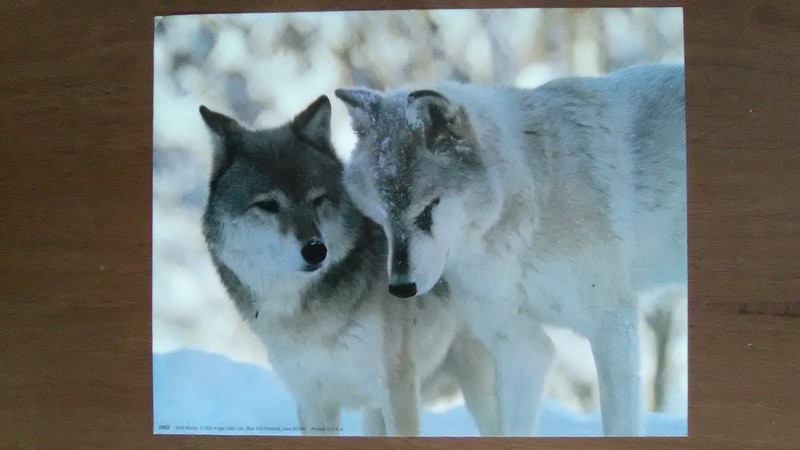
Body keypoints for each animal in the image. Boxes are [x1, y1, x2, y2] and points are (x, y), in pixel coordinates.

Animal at [198, 96, 499, 436]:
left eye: (317, 200)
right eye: (267, 205)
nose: (316, 250)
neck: (307, 317)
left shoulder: (398, 390)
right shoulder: (314, 401)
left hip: (479, 382)